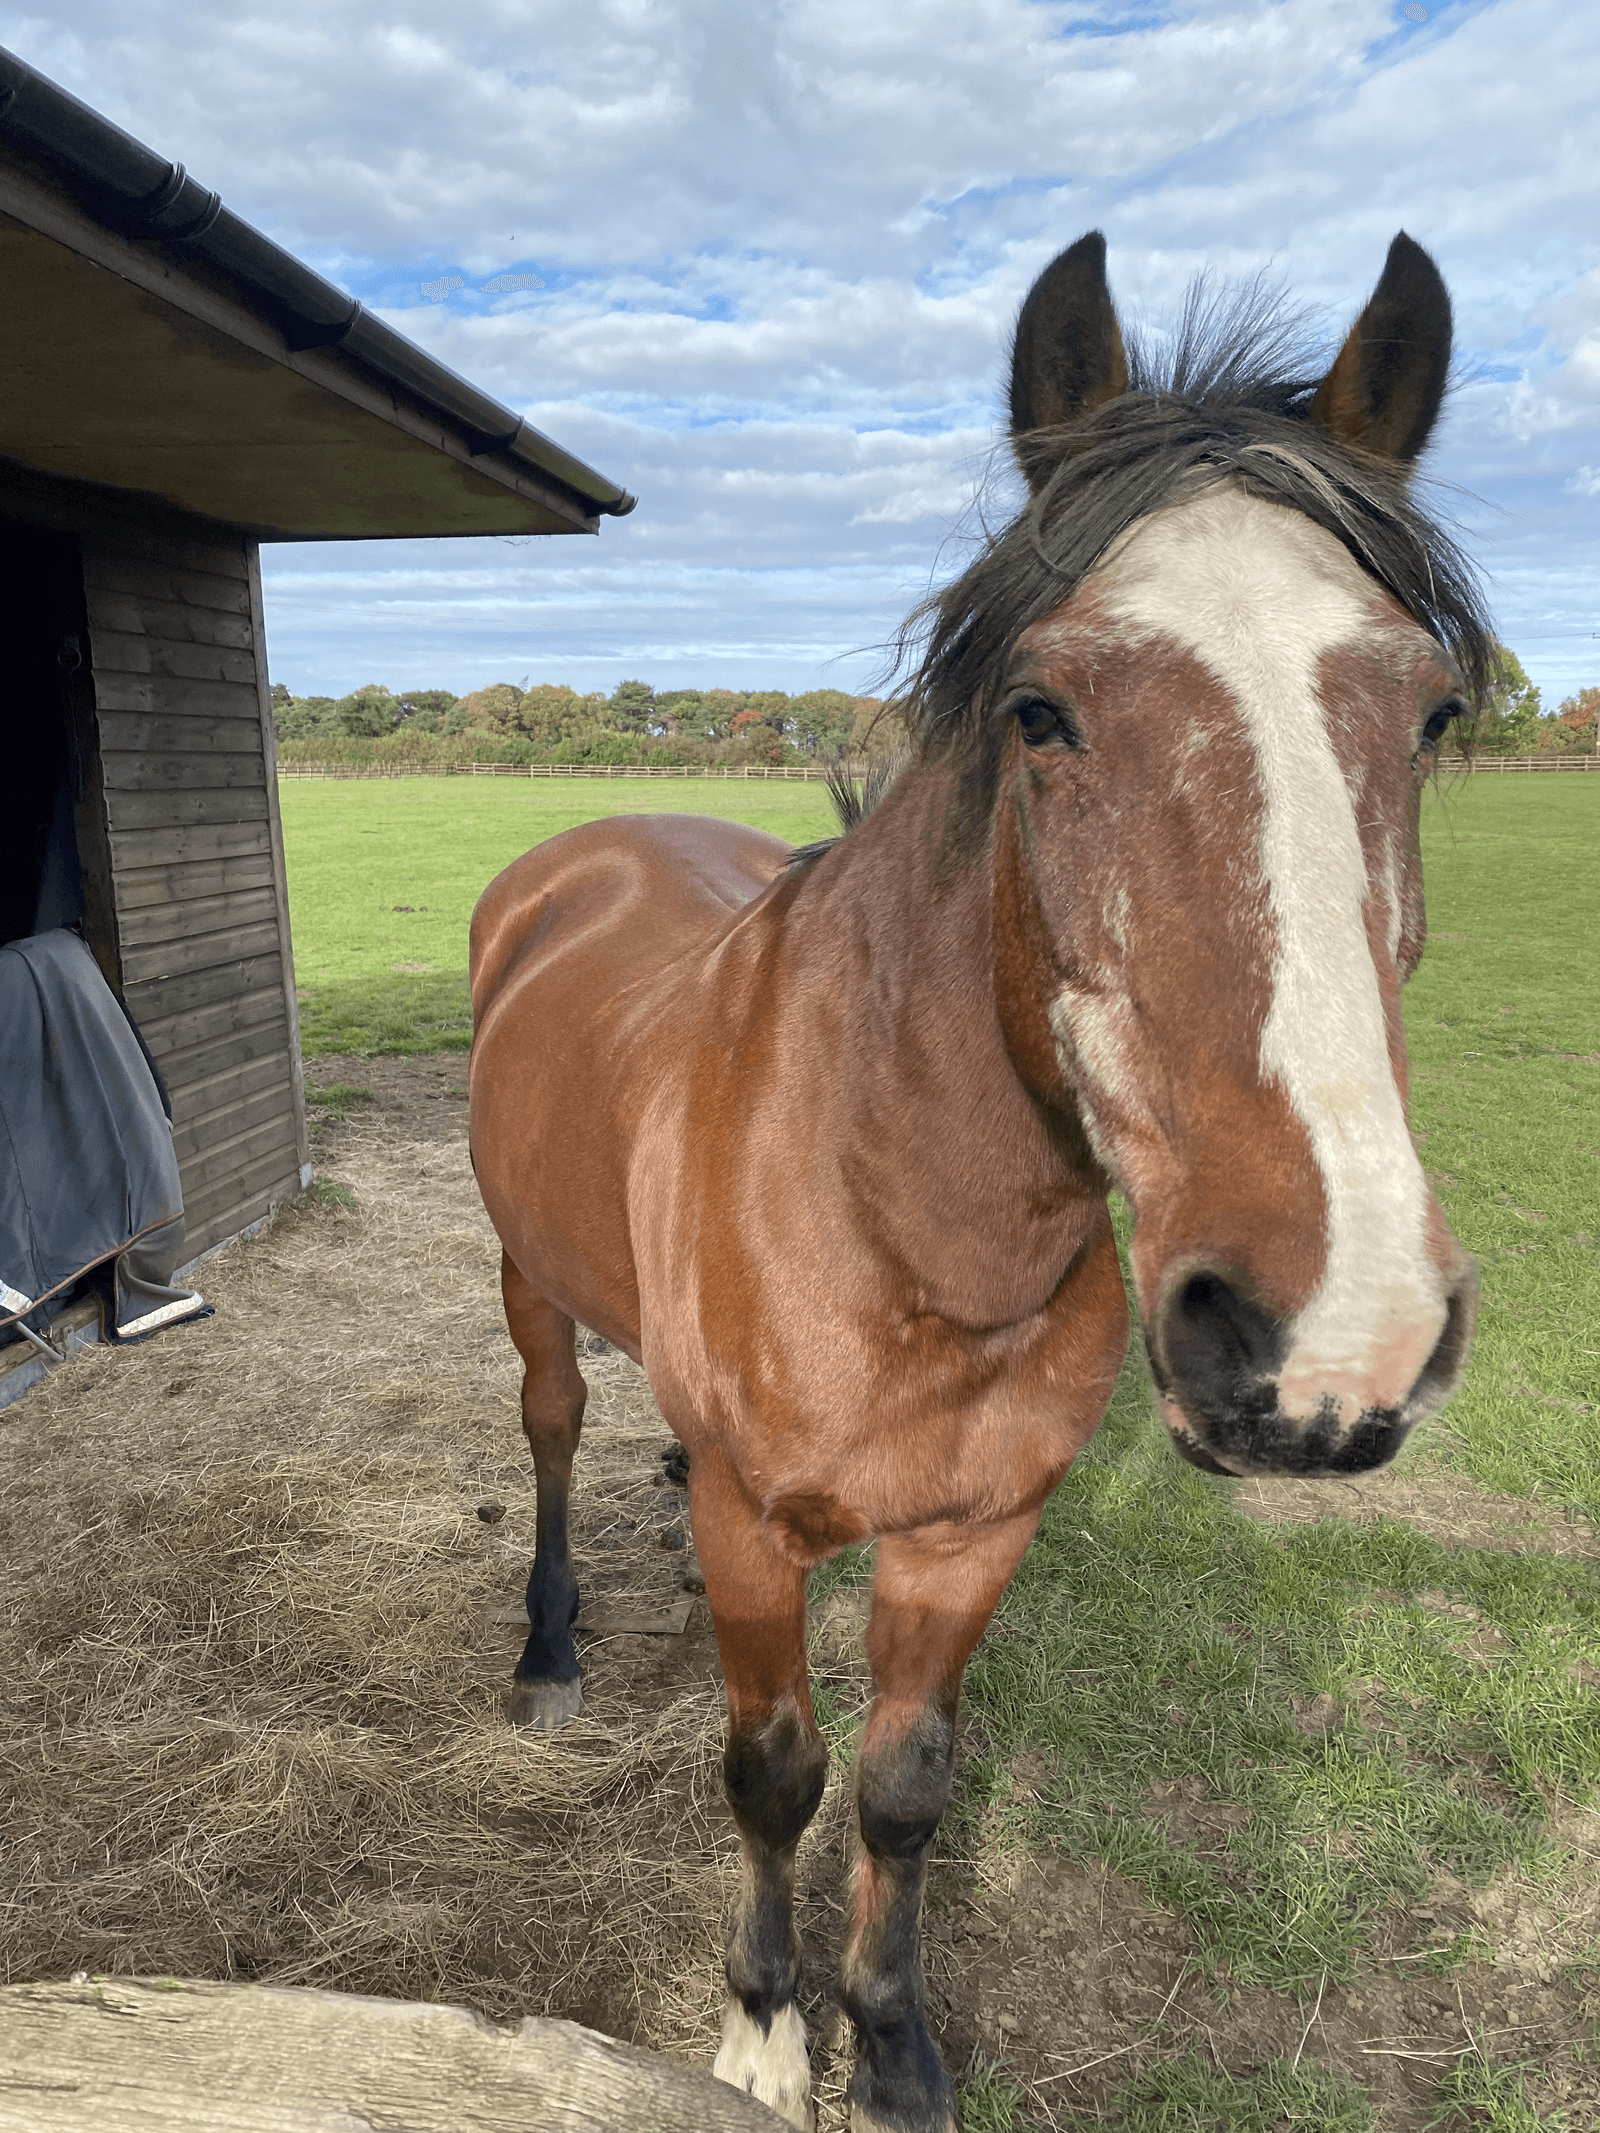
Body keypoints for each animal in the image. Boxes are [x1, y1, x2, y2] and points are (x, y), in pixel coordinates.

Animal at [468, 229, 1490, 2133]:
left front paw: (894, 2045)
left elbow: (904, 1789)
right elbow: (774, 1771)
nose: (1332, 1337)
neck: (901, 1217)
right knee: (555, 1431)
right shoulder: (761, 1533)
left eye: (1435, 710)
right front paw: (763, 2022)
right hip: (526, 1287)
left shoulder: (975, 1531)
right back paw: (551, 1650)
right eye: (1042, 712)